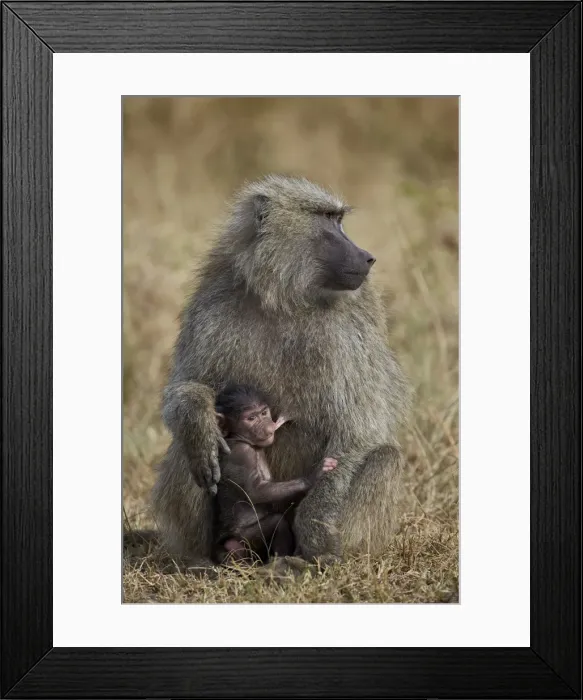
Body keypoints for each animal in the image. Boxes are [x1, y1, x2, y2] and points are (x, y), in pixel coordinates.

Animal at [212, 383, 337, 565]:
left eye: (264, 413)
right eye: (251, 418)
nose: (267, 426)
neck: (240, 438)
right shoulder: (242, 454)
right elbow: (255, 491)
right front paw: (313, 476)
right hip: (246, 537)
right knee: (277, 523)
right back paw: (279, 561)